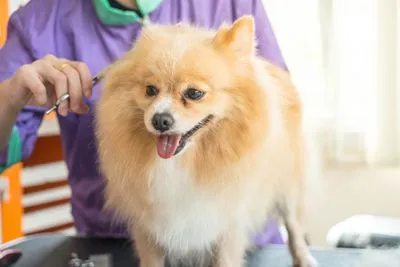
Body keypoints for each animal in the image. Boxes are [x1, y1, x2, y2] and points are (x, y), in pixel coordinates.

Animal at [95, 16, 318, 267]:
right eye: (150, 90)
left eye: (194, 93)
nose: (160, 119)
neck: (181, 162)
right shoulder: (149, 224)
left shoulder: (227, 222)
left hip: (288, 186)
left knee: (294, 225)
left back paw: (303, 257)